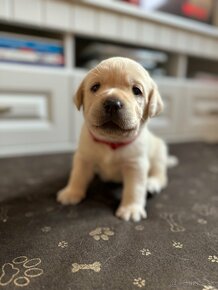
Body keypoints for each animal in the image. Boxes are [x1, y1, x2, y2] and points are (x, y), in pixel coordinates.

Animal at [57, 56, 176, 221]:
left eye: (136, 91)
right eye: (95, 87)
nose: (113, 103)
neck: (111, 141)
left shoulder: (136, 164)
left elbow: (135, 188)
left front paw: (131, 209)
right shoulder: (83, 157)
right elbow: (78, 175)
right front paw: (71, 192)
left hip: (159, 153)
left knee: (160, 175)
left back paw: (152, 184)